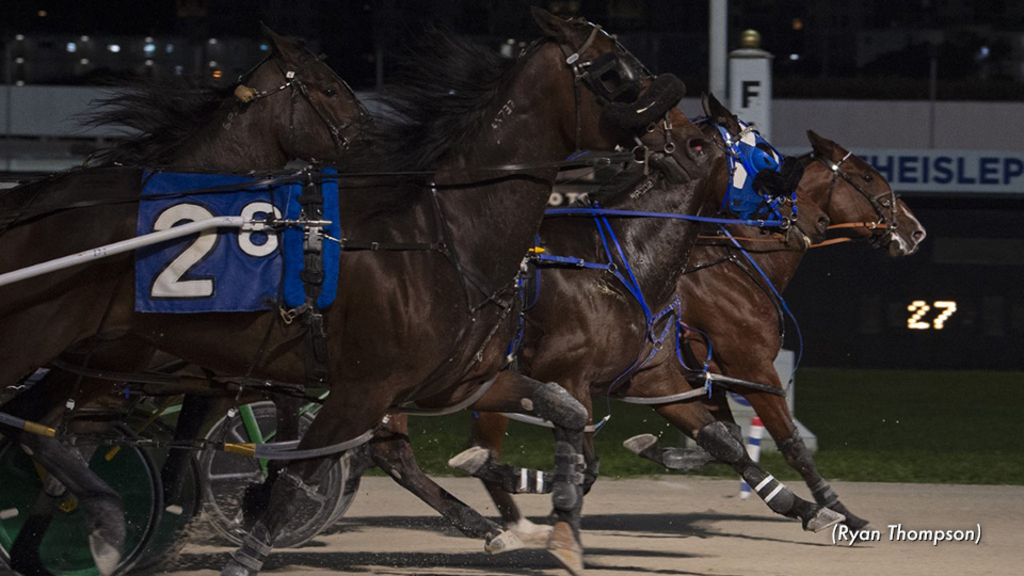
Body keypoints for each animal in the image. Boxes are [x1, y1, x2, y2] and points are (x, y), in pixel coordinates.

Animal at [0, 10, 688, 573]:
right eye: (616, 71)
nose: (681, 139)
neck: (441, 234)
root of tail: (33, 202)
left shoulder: (455, 380)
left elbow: (566, 411)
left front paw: (550, 517)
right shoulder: (359, 390)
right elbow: (290, 480)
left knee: (37, 423)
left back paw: (83, 527)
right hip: (52, 345)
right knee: (38, 425)